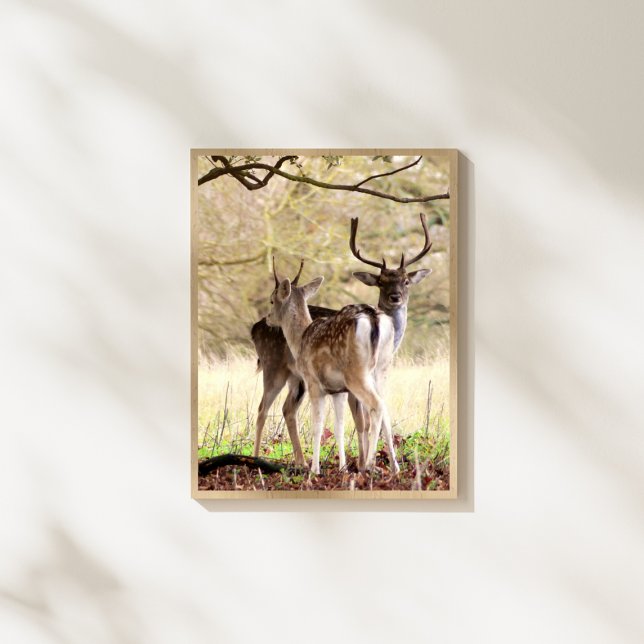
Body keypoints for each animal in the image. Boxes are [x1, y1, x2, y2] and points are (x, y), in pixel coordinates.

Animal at [266, 259, 397, 475]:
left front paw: (315, 469)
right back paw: (395, 467)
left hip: (357, 373)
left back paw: (370, 464)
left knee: (377, 405)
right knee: (386, 407)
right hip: (382, 369)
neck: (300, 341)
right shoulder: (338, 391)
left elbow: (317, 425)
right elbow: (339, 426)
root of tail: (374, 318)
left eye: (271, 299)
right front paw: (343, 467)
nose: (268, 318)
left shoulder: (313, 383)